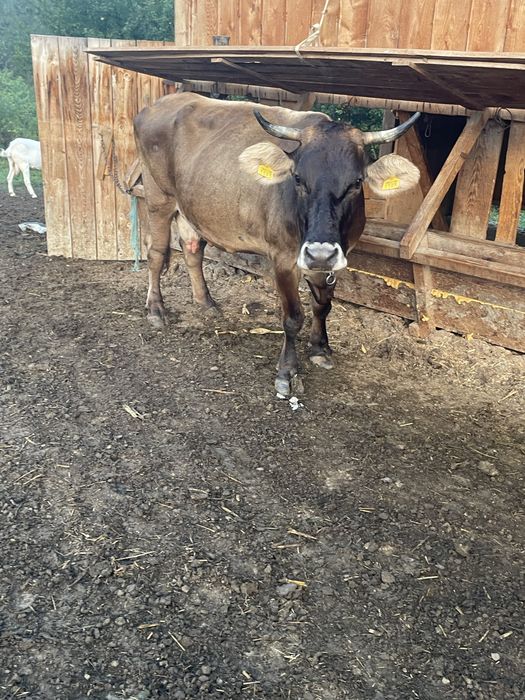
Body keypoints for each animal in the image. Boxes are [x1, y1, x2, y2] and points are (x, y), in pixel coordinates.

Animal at [134, 93, 420, 396]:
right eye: (298, 179)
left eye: (356, 182)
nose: (320, 253)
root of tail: (161, 103)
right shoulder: (283, 258)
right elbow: (293, 318)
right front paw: (287, 371)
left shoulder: (335, 260)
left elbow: (323, 306)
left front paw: (320, 348)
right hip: (158, 198)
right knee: (156, 253)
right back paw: (156, 310)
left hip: (190, 206)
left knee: (192, 250)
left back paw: (206, 303)